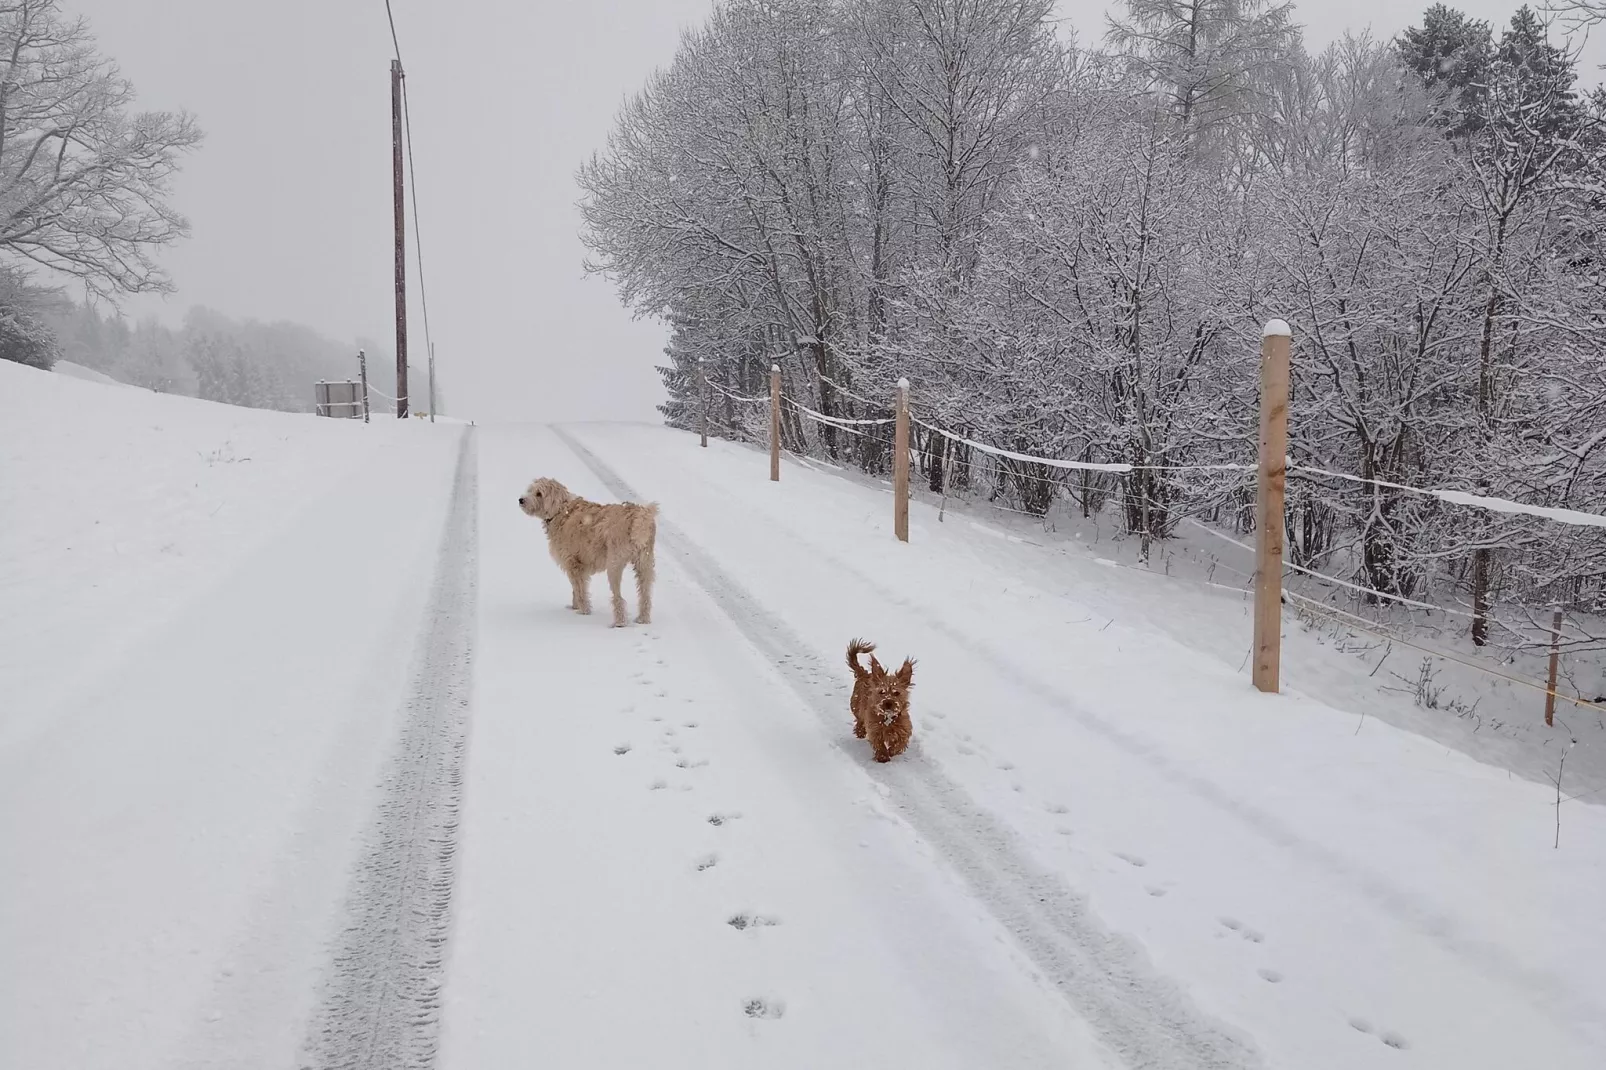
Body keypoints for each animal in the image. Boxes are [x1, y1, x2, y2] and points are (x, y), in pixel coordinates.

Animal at [520, 475, 658, 626]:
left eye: (539, 493)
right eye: (530, 490)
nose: (521, 500)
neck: (560, 510)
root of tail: (638, 517)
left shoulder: (573, 564)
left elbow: (579, 589)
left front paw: (583, 611)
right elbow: (576, 589)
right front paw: (574, 607)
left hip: (614, 565)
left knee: (618, 597)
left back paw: (619, 623)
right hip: (645, 563)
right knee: (645, 595)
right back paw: (643, 619)